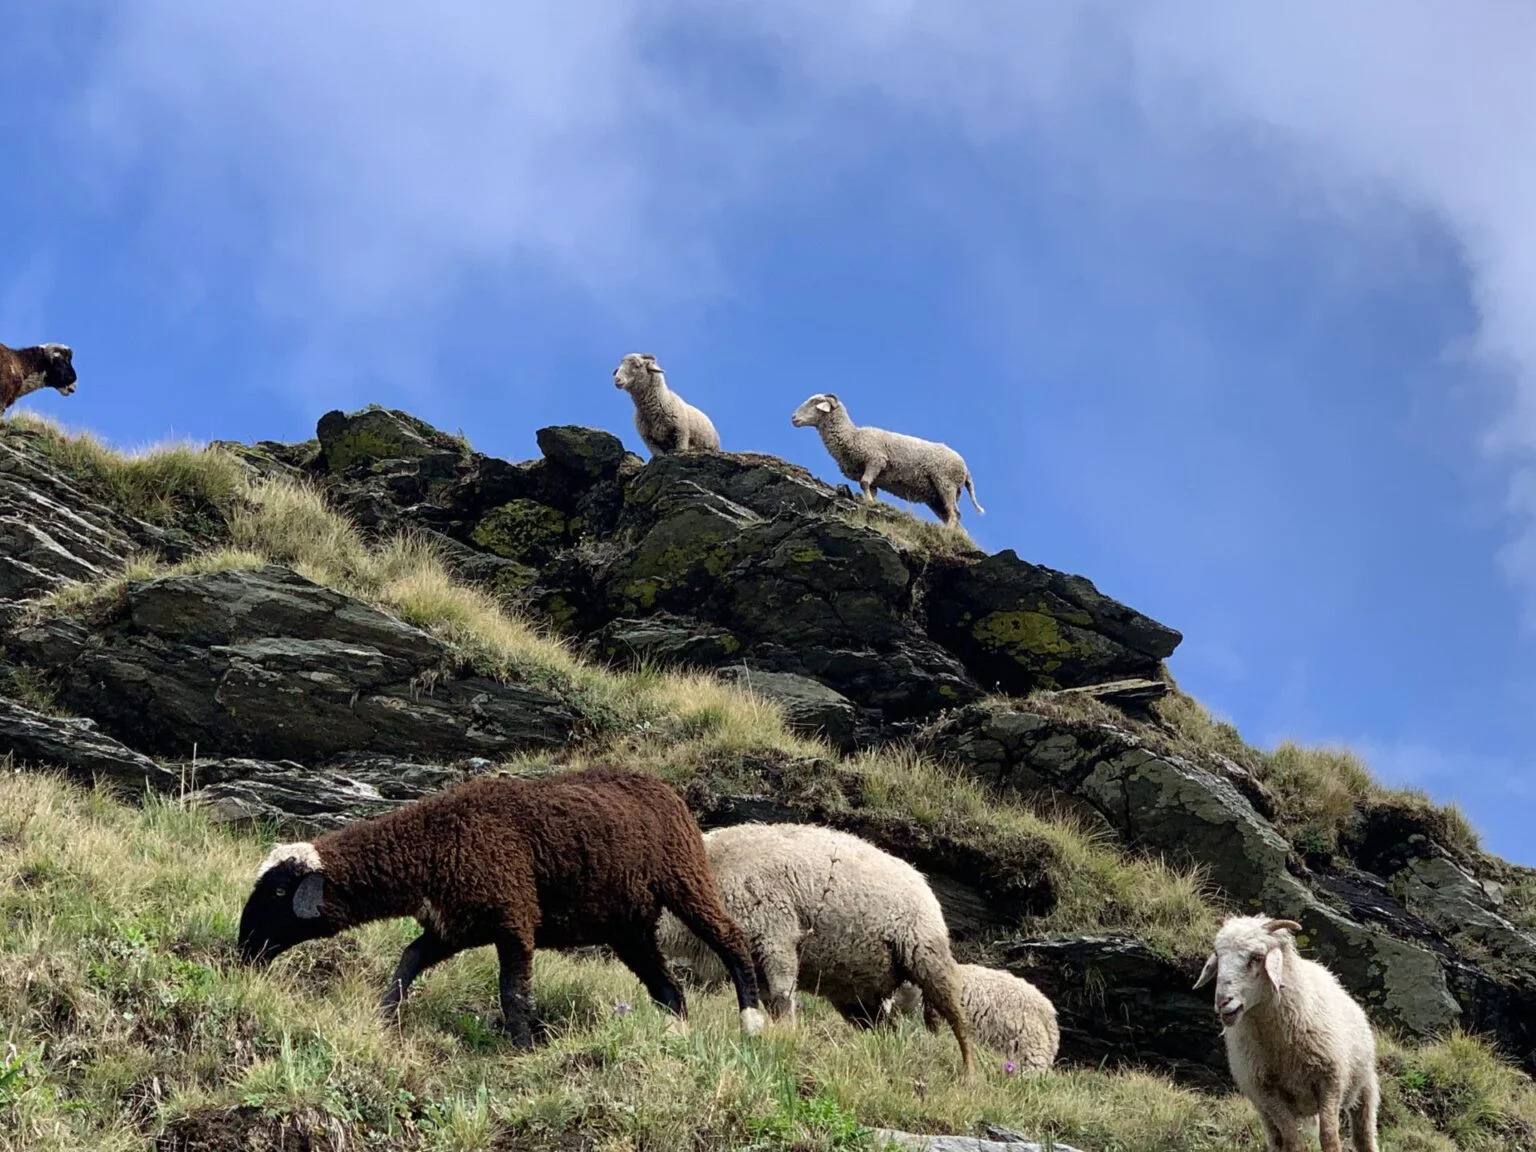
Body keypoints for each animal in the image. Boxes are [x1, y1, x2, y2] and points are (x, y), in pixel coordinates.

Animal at [236, 771, 764, 1050]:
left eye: (279, 893)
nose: (244, 951)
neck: (430, 844)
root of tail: (663, 787)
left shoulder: (514, 917)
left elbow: (513, 994)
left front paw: (523, 1049)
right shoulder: (453, 928)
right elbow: (407, 963)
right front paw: (384, 1019)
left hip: (685, 879)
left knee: (730, 939)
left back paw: (752, 1020)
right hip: (627, 926)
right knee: (668, 988)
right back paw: (675, 1036)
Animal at [657, 823, 970, 1081]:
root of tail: (921, 879)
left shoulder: (776, 936)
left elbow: (783, 997)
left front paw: (786, 1038)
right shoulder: (756, 960)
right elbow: (771, 1002)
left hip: (927, 957)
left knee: (958, 1023)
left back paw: (969, 1074)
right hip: (859, 996)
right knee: (889, 1030)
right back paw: (887, 1057)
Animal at [792, 393, 983, 528]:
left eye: (815, 402)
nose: (793, 418)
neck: (852, 436)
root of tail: (966, 470)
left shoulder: (876, 460)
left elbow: (863, 482)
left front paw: (869, 503)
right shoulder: (875, 476)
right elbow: (869, 487)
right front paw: (871, 502)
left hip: (945, 482)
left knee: (955, 515)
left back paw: (946, 532)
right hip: (936, 497)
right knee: (954, 519)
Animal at [1191, 915, 1388, 1148]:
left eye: (1257, 957)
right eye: (1218, 955)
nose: (1223, 1002)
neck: (1280, 1044)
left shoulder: (1331, 1081)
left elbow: (1329, 1137)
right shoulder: (1267, 1094)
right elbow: (1292, 1141)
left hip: (1364, 1086)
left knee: (1364, 1136)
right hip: (1264, 1111)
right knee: (1276, 1140)